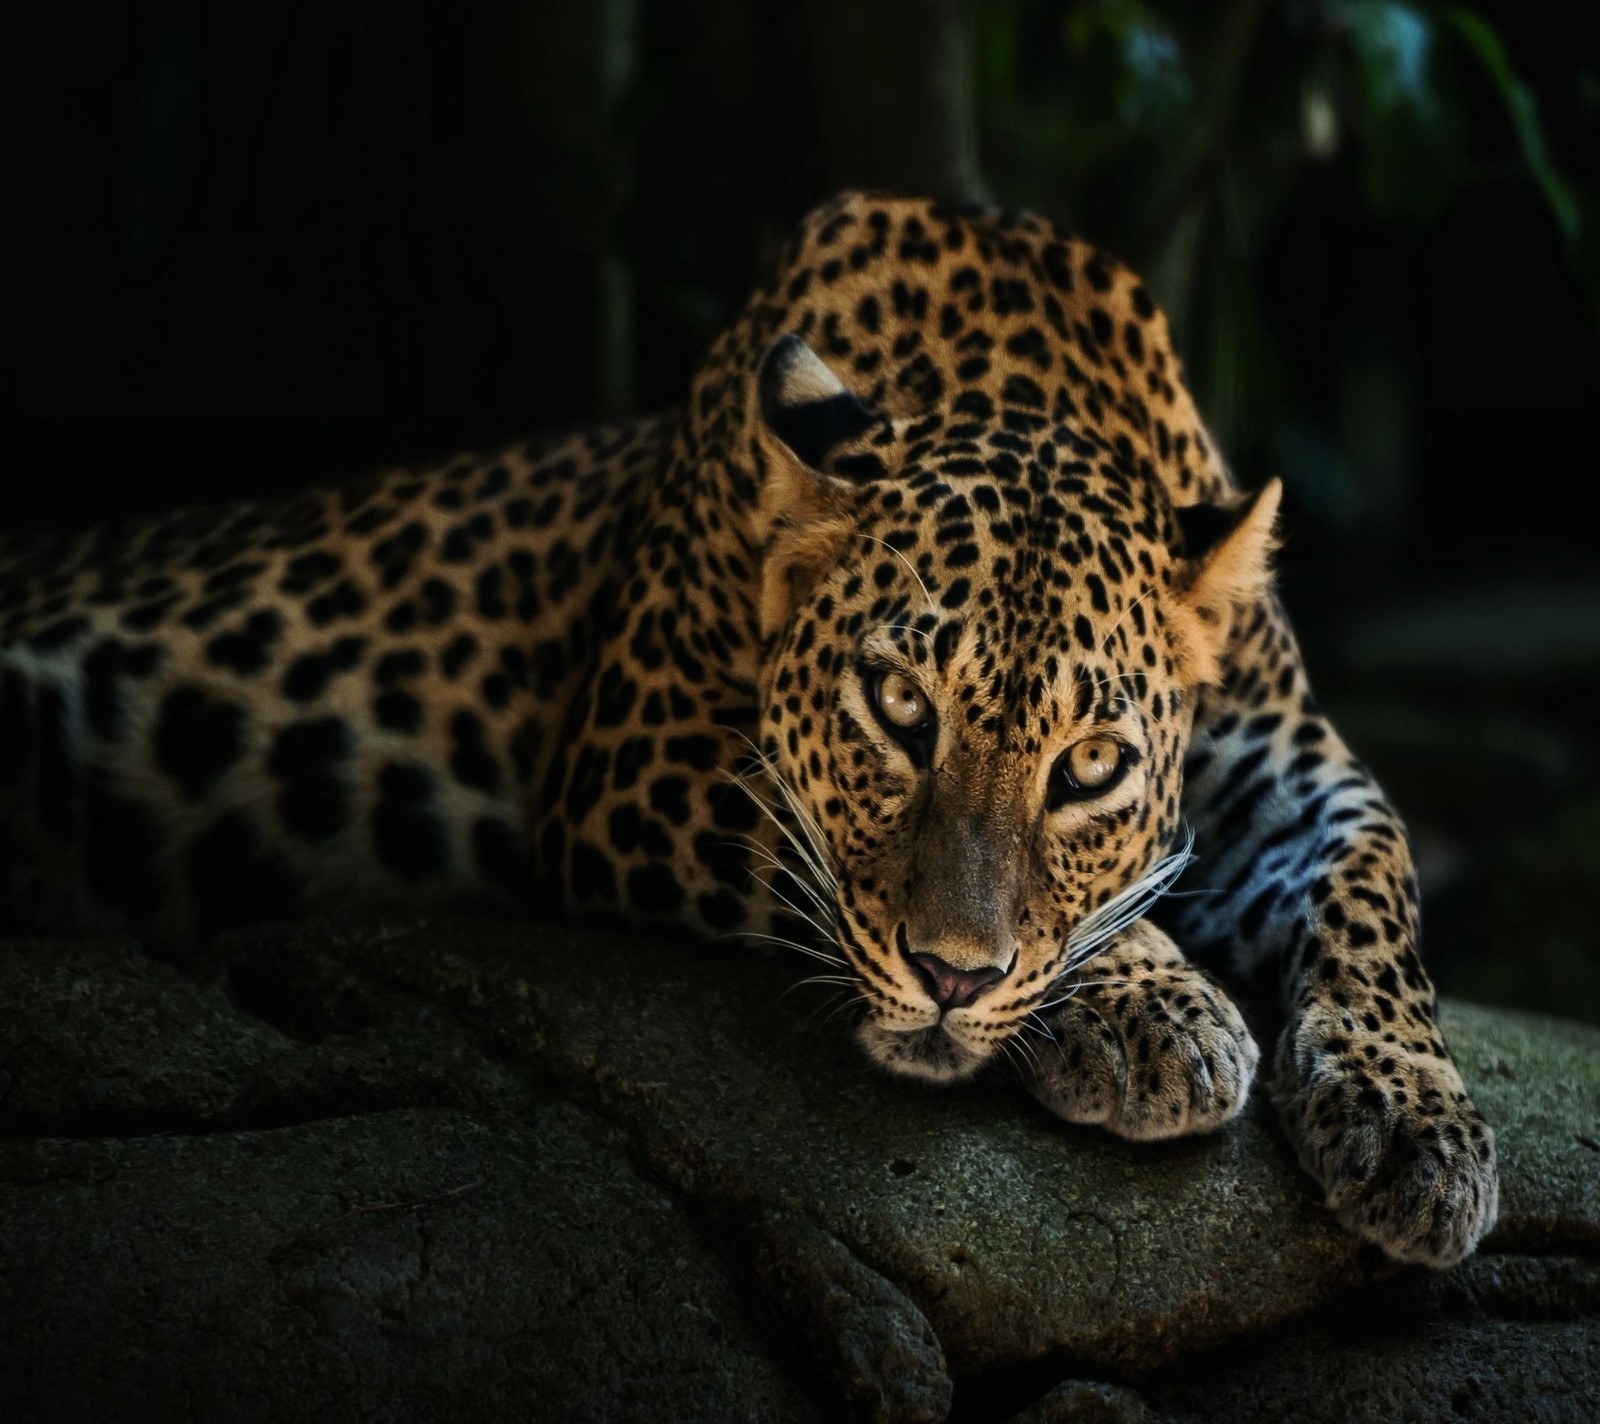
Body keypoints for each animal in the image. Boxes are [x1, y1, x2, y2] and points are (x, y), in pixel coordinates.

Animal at [0, 188, 1497, 1267]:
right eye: (897, 708)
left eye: (1090, 766)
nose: (952, 978)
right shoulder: (633, 752)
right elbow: (831, 858)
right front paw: (1156, 1008)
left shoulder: (1291, 762)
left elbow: (1376, 879)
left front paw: (1419, 1123)